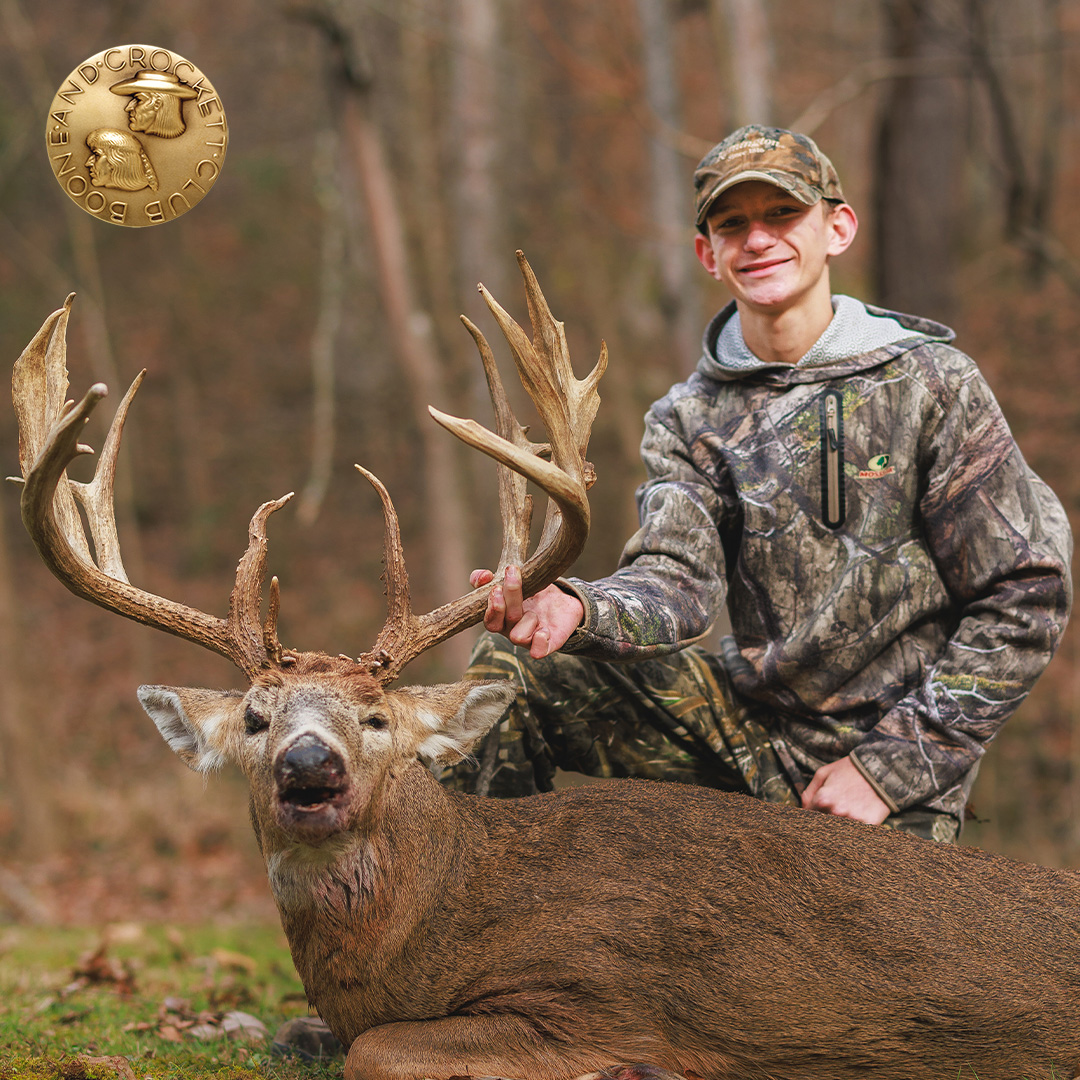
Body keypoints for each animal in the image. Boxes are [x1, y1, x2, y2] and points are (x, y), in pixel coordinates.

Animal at [11, 251, 1080, 1080]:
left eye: (377, 719)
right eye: (254, 720)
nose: (309, 770)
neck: (428, 931)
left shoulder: (593, 993)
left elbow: (376, 1052)